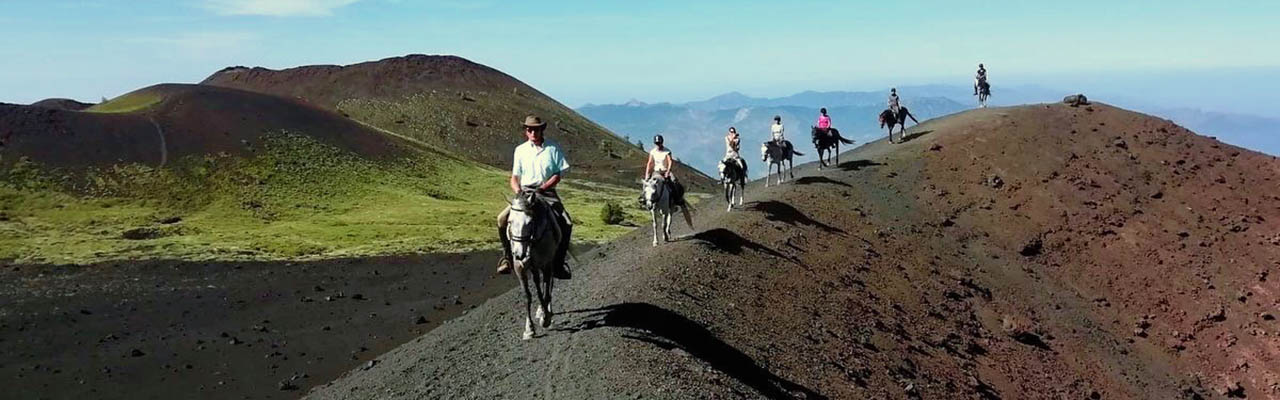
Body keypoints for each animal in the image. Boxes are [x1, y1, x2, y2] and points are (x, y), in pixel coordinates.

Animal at [501, 191, 558, 341]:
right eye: (509, 222)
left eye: (530, 222)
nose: (519, 254)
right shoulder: (520, 268)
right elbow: (528, 295)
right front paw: (529, 329)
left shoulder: (546, 264)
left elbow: (545, 290)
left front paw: (546, 318)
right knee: (539, 285)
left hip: (549, 264)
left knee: (549, 285)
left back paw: (547, 311)